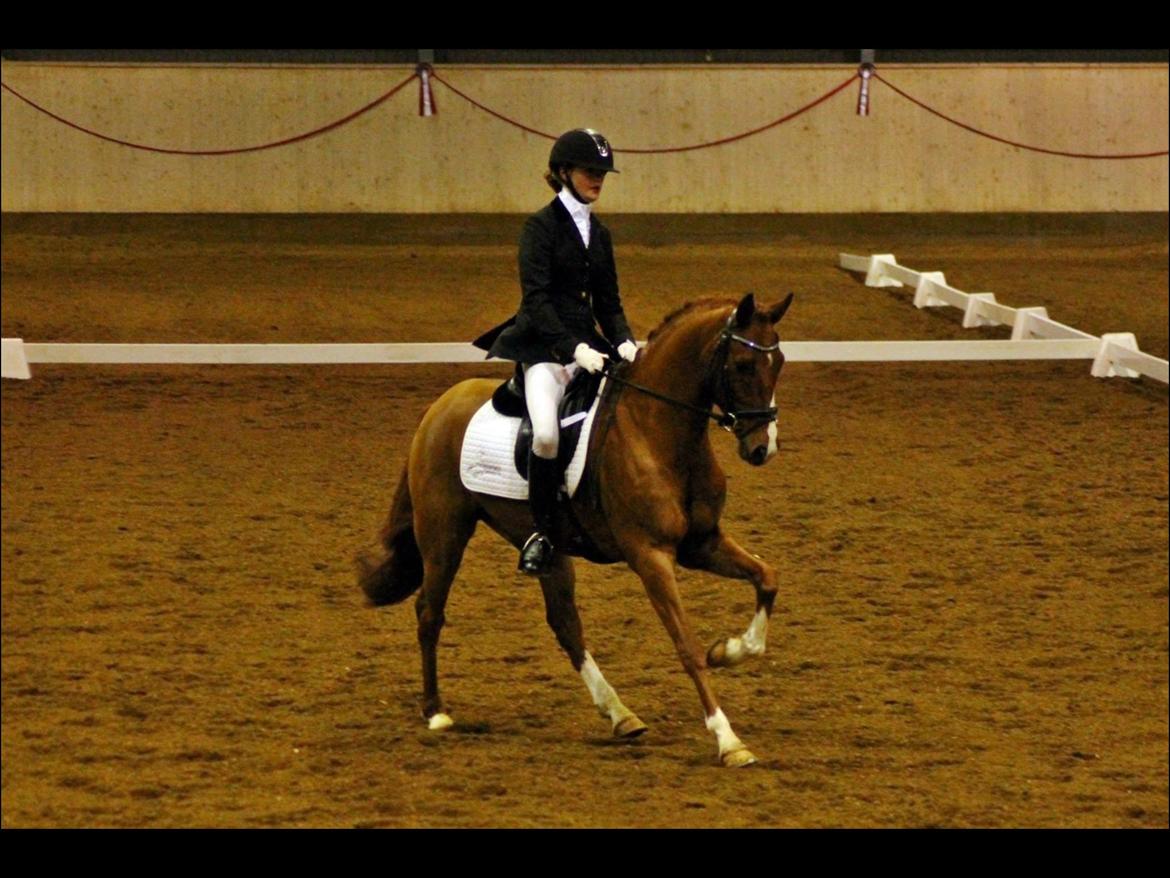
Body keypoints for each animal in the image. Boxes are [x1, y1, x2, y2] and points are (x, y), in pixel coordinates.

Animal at [358, 291, 794, 766]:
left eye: (779, 362)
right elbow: (686, 645)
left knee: (565, 623)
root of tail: (437, 408)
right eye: (743, 365)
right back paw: (436, 712)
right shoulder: (650, 555)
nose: (762, 448)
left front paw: (729, 651)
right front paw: (728, 739)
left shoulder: (702, 543)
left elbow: (768, 578)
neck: (655, 428)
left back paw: (621, 714)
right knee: (429, 612)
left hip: (545, 546)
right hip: (444, 534)